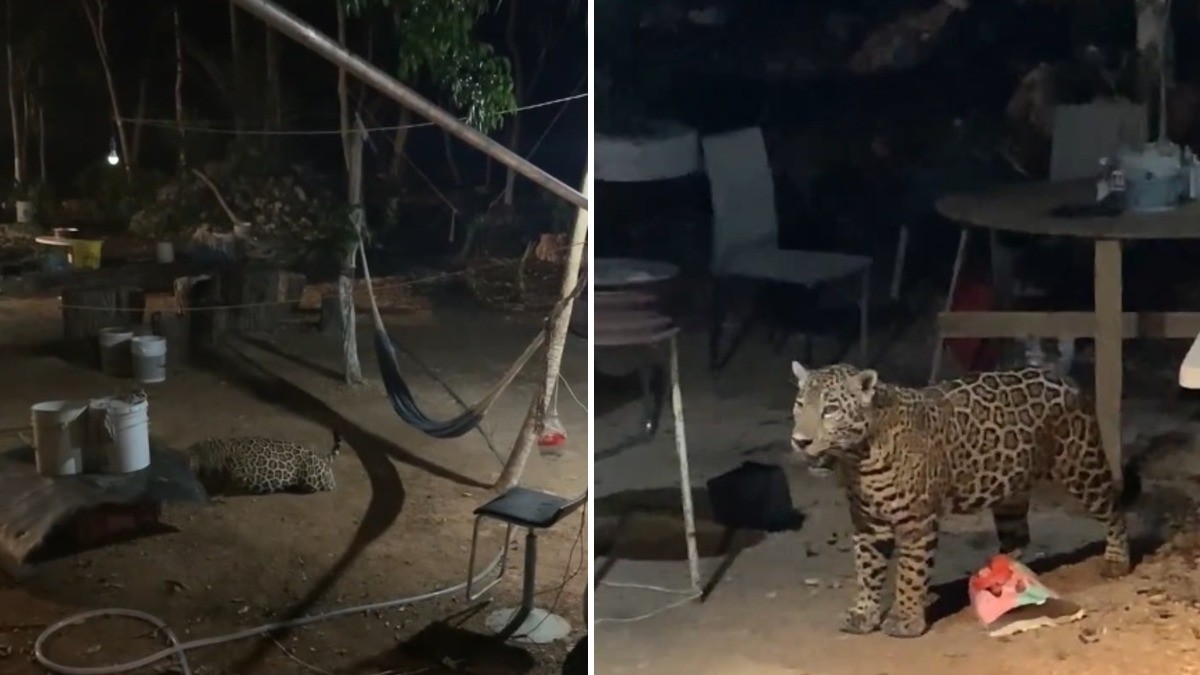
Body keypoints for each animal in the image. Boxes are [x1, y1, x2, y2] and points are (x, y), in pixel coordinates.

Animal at [789, 361, 1142, 639]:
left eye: (831, 410)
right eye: (799, 405)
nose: (799, 441)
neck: (858, 459)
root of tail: (1065, 378)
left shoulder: (917, 522)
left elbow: (909, 574)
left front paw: (905, 621)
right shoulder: (868, 524)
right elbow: (866, 570)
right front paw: (863, 614)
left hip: (1081, 465)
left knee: (1113, 507)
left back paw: (1116, 561)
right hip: (1009, 488)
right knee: (1018, 536)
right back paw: (997, 577)